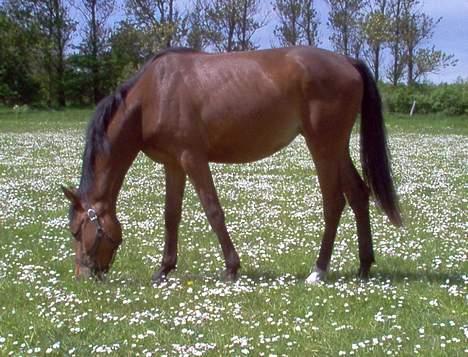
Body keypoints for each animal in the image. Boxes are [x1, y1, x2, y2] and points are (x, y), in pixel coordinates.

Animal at [62, 45, 402, 284]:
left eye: (77, 231)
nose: (83, 276)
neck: (153, 95)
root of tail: (347, 61)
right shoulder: (174, 164)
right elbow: (171, 216)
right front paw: (164, 269)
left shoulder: (192, 158)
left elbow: (213, 210)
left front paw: (231, 268)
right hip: (336, 147)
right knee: (358, 194)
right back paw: (364, 266)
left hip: (322, 147)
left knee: (334, 202)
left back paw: (318, 270)